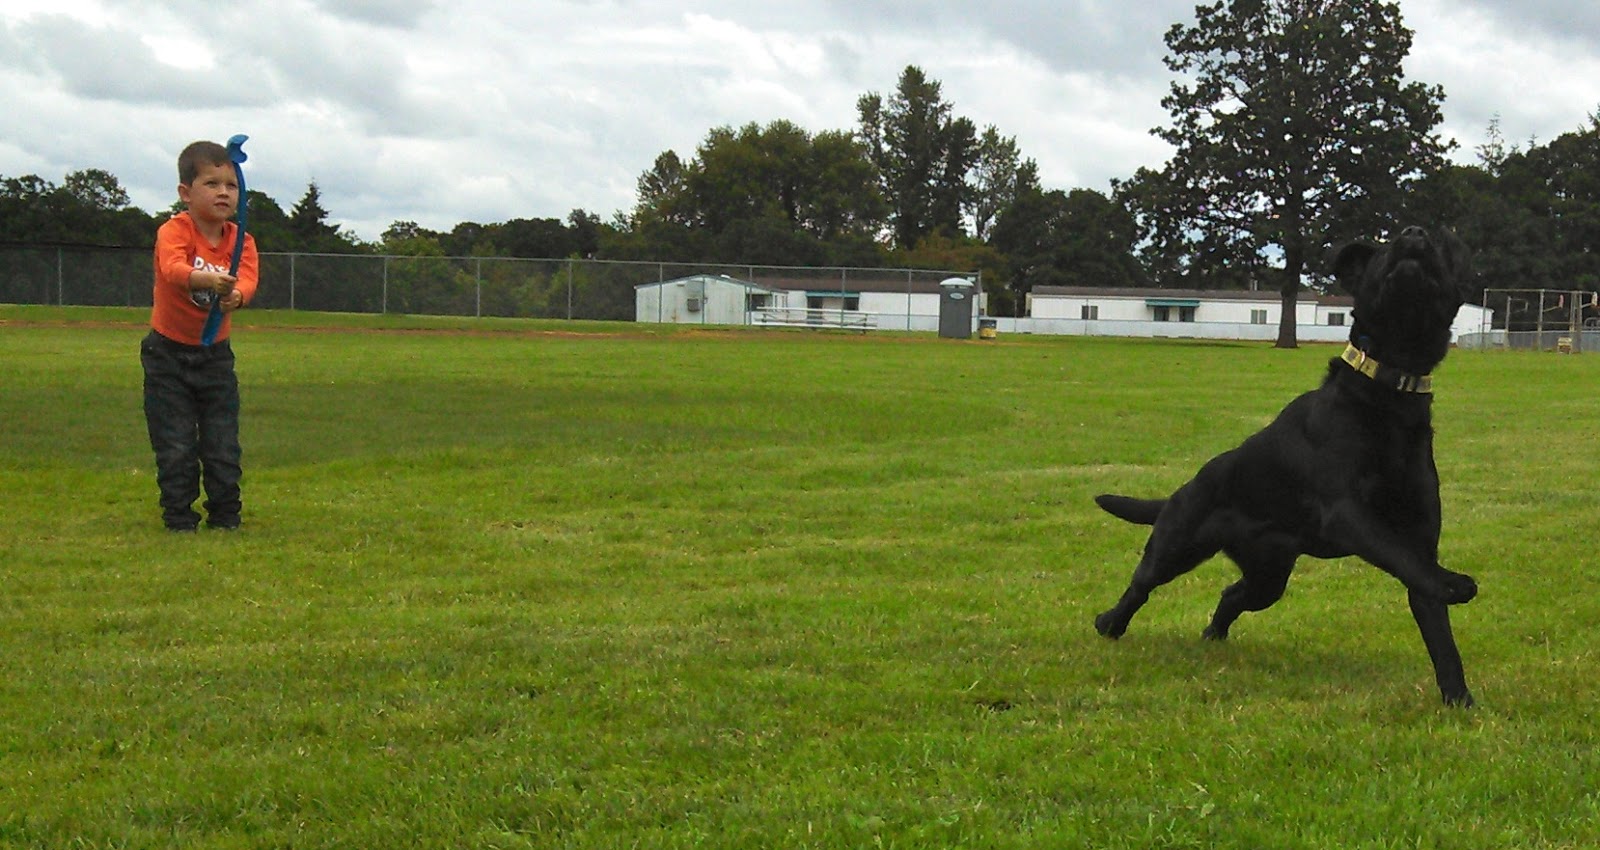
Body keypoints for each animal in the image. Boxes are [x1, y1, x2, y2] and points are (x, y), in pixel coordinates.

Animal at [1093, 225, 1478, 706]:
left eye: (1442, 248)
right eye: (1386, 247)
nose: (1413, 234)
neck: (1389, 394)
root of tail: (1181, 489)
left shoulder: (1421, 535)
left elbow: (1435, 620)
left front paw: (1459, 701)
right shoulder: (1345, 512)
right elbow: (1403, 558)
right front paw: (1455, 583)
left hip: (1268, 576)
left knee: (1231, 594)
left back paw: (1213, 636)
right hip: (1175, 546)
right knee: (1140, 586)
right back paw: (1109, 623)